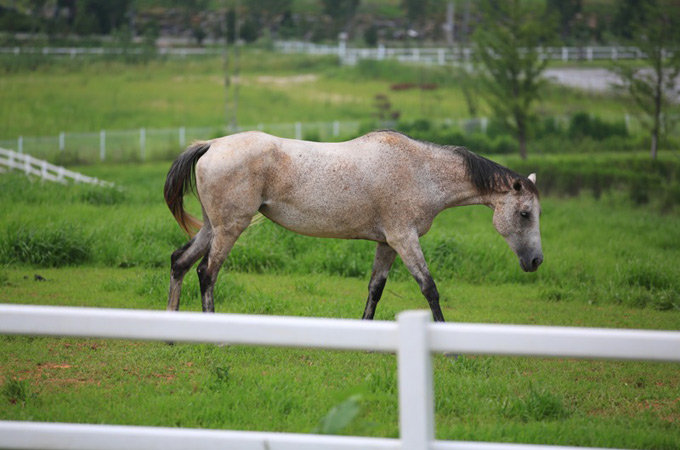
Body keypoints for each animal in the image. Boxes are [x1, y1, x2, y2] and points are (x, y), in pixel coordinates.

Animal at [163, 128, 540, 322]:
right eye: (525, 214)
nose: (536, 261)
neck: (421, 171)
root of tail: (211, 144)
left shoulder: (387, 243)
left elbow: (375, 288)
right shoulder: (404, 239)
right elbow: (429, 288)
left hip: (212, 226)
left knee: (180, 262)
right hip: (230, 228)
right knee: (207, 272)